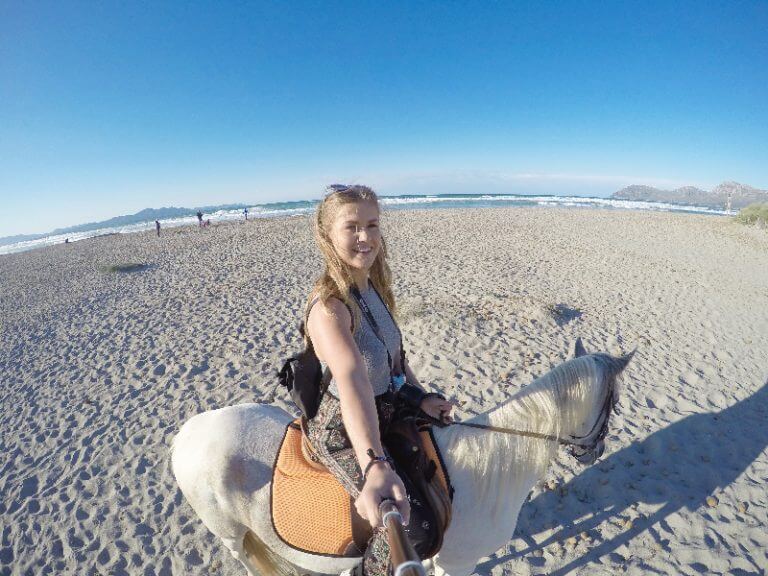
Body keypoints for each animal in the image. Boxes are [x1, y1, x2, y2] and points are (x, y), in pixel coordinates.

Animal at [172, 342, 632, 576]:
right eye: (614, 403)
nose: (596, 451)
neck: (489, 468)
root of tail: (185, 434)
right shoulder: (456, 563)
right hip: (231, 533)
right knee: (244, 557)